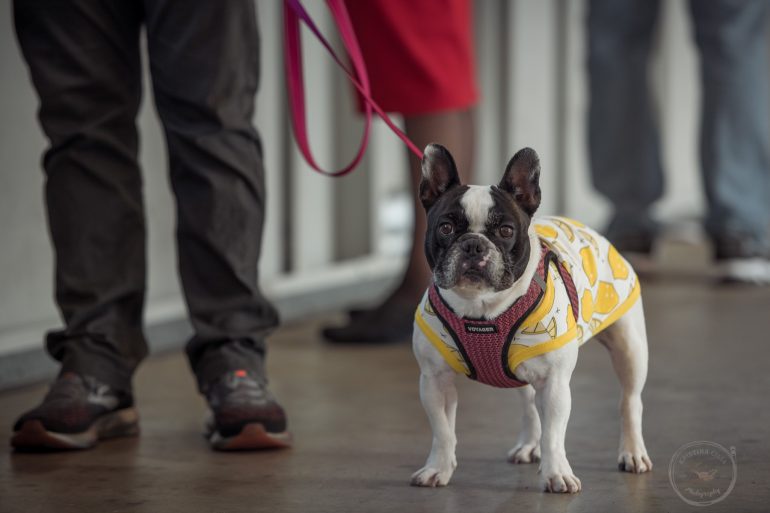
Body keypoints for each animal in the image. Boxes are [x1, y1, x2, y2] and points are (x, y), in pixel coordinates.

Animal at [408, 143, 648, 492]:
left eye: (506, 230)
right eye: (446, 228)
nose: (473, 245)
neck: (482, 310)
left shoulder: (556, 384)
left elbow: (554, 436)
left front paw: (557, 473)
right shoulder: (434, 382)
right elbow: (442, 432)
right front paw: (438, 468)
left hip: (630, 347)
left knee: (629, 401)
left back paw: (632, 452)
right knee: (530, 407)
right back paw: (529, 445)